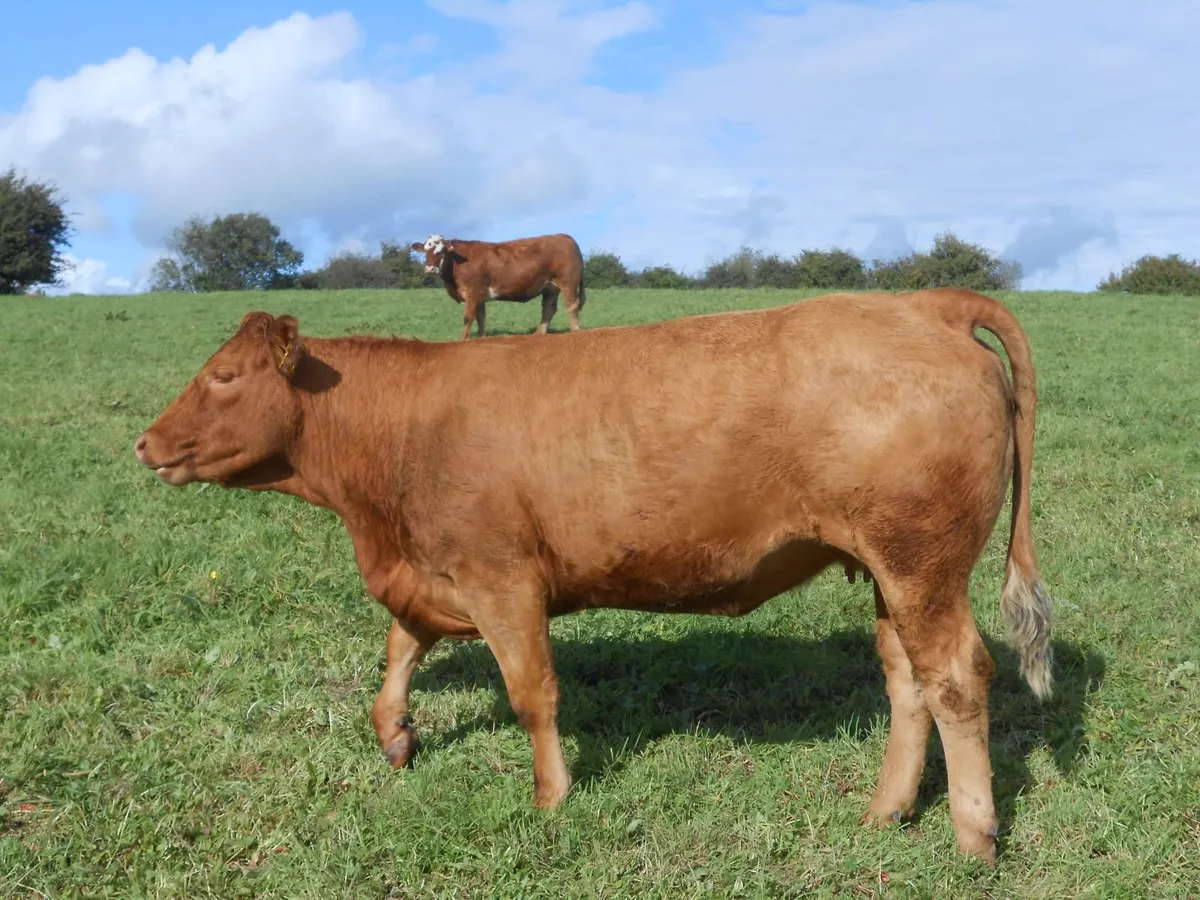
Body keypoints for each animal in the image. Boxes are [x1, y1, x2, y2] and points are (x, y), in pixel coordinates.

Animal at [133, 287, 1054, 866]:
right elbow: (399, 651)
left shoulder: (501, 577)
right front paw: (396, 733)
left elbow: (532, 693)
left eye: (223, 377)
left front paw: (552, 796)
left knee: (956, 678)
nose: (145, 443)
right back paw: (885, 810)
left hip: (921, 564)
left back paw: (974, 837)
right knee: (908, 682)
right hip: (887, 572)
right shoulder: (431, 572)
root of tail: (924, 303)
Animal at [409, 232, 586, 340]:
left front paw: (463, 340)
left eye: (441, 251)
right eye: (426, 251)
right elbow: (481, 317)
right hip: (550, 287)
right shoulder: (479, 295)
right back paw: (538, 334)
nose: (430, 269)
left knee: (572, 306)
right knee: (548, 309)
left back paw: (575, 332)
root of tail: (564, 236)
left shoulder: (472, 292)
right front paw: (481, 338)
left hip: (568, 283)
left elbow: (468, 317)